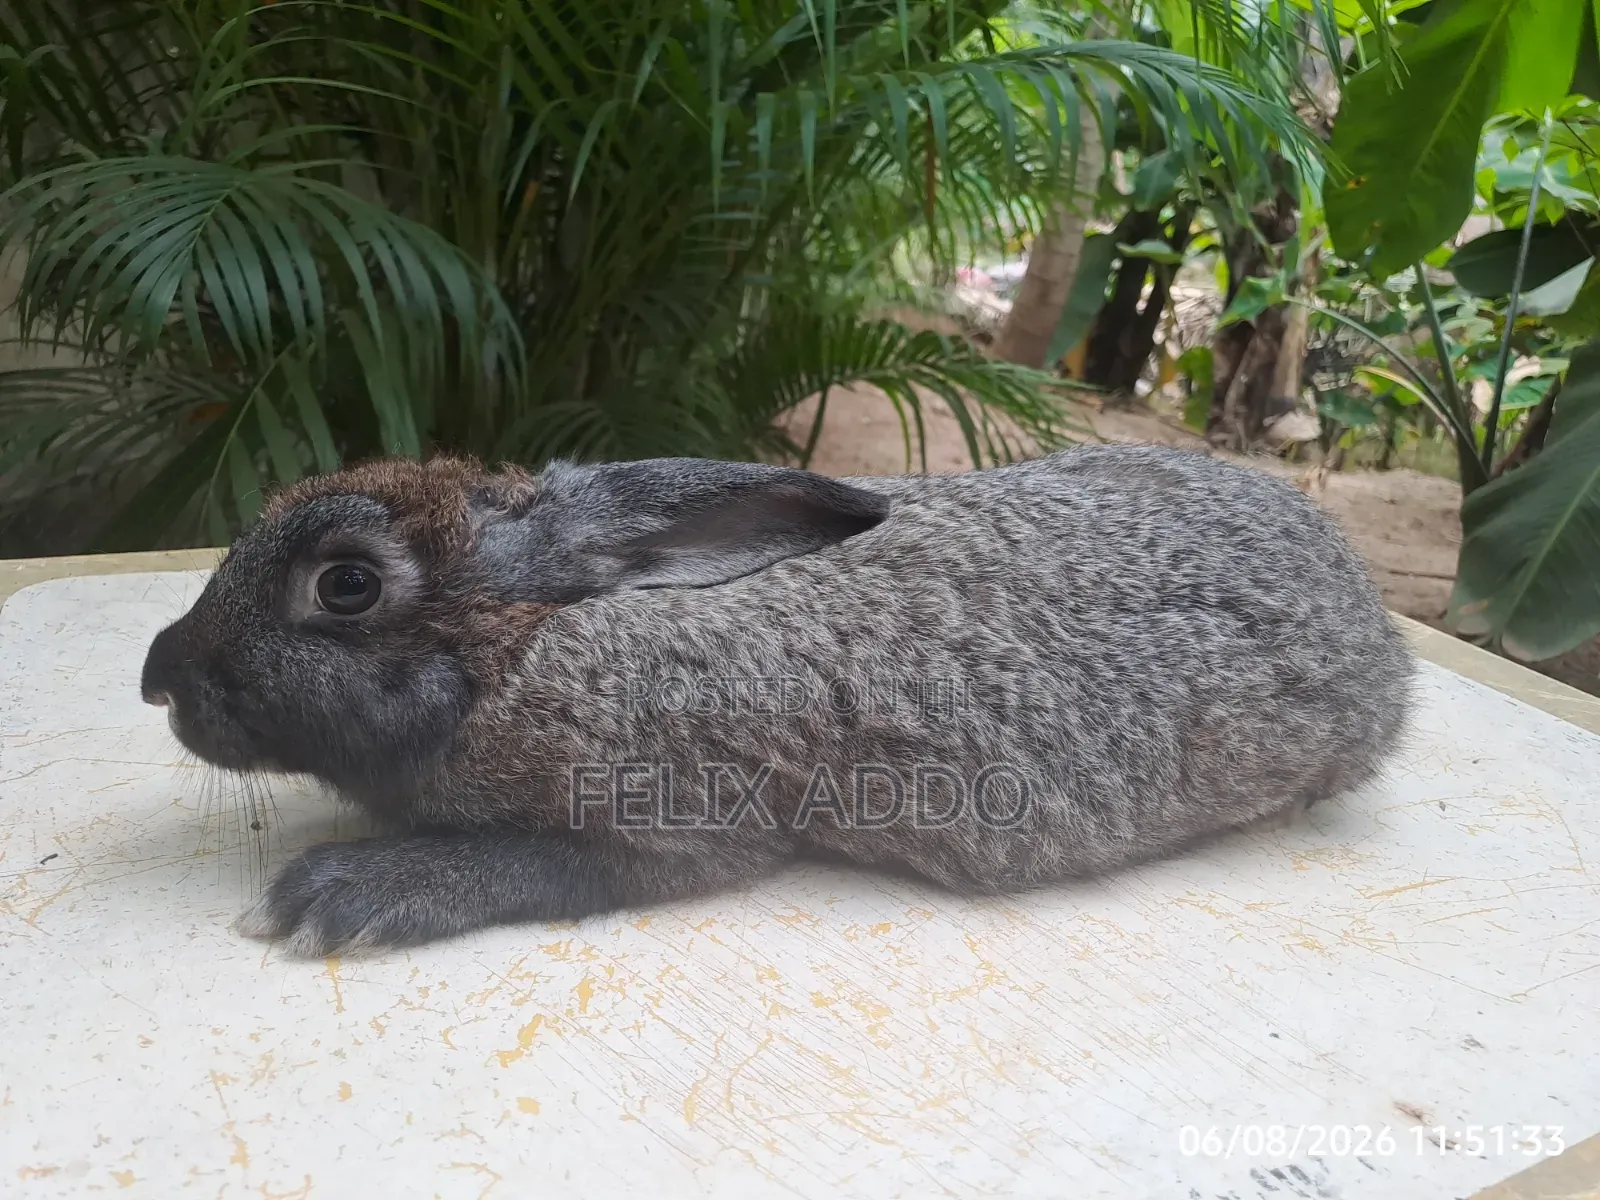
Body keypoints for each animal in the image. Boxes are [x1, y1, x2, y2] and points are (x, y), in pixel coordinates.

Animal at [141, 444, 1414, 957]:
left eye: (346, 584)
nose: (159, 674)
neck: (532, 634)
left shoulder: (679, 821)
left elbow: (539, 867)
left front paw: (340, 896)